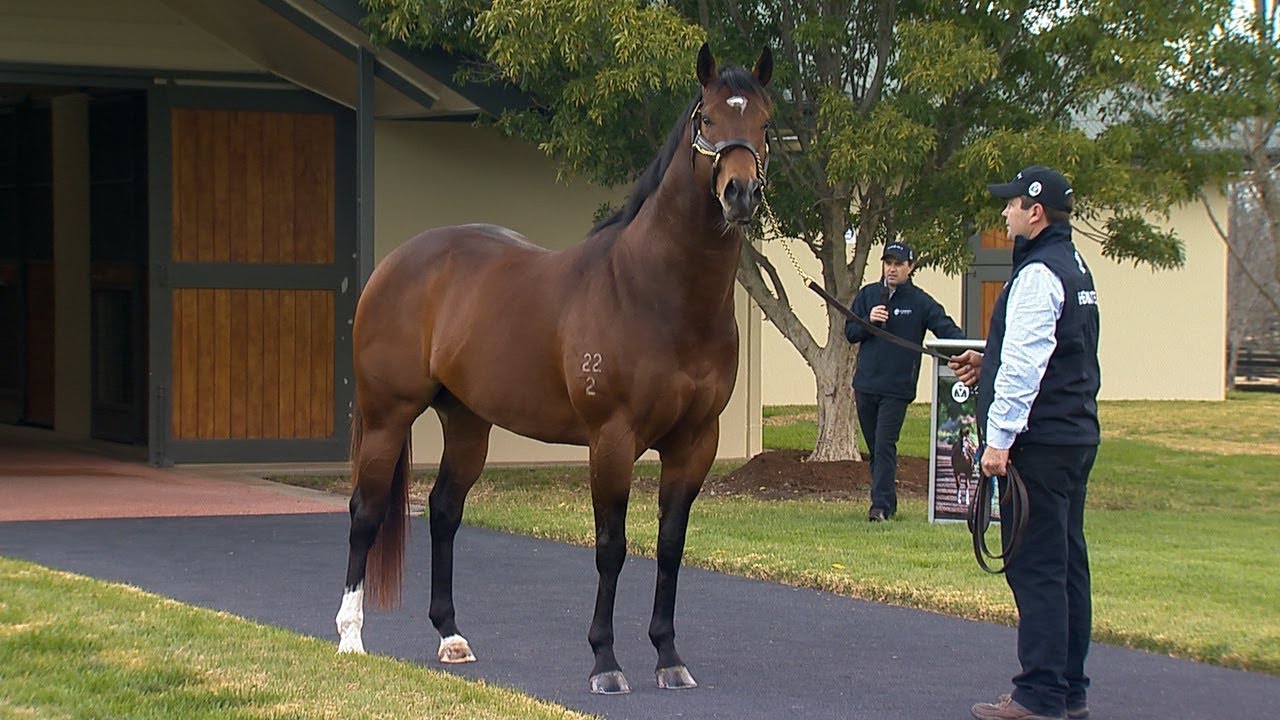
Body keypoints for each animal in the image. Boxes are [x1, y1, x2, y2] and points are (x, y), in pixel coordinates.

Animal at [334, 43, 774, 695]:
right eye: (708, 119)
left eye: (765, 124)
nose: (739, 193)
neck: (657, 294)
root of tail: (396, 263)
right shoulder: (611, 440)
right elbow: (612, 546)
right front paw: (605, 663)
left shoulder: (696, 441)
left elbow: (670, 545)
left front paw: (668, 656)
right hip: (388, 416)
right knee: (365, 511)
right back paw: (351, 637)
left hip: (468, 422)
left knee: (443, 510)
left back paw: (451, 638)